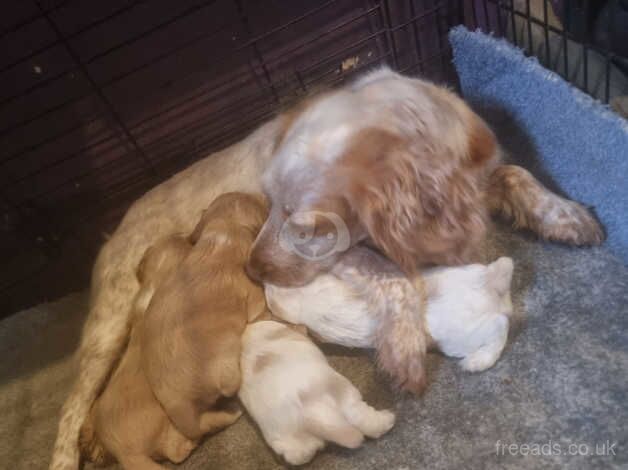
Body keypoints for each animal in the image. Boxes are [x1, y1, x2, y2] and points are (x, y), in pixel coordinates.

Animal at [238, 320, 394, 466]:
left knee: (301, 454)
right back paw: (387, 420)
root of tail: (308, 411)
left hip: (290, 442)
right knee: (363, 417)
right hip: (346, 394)